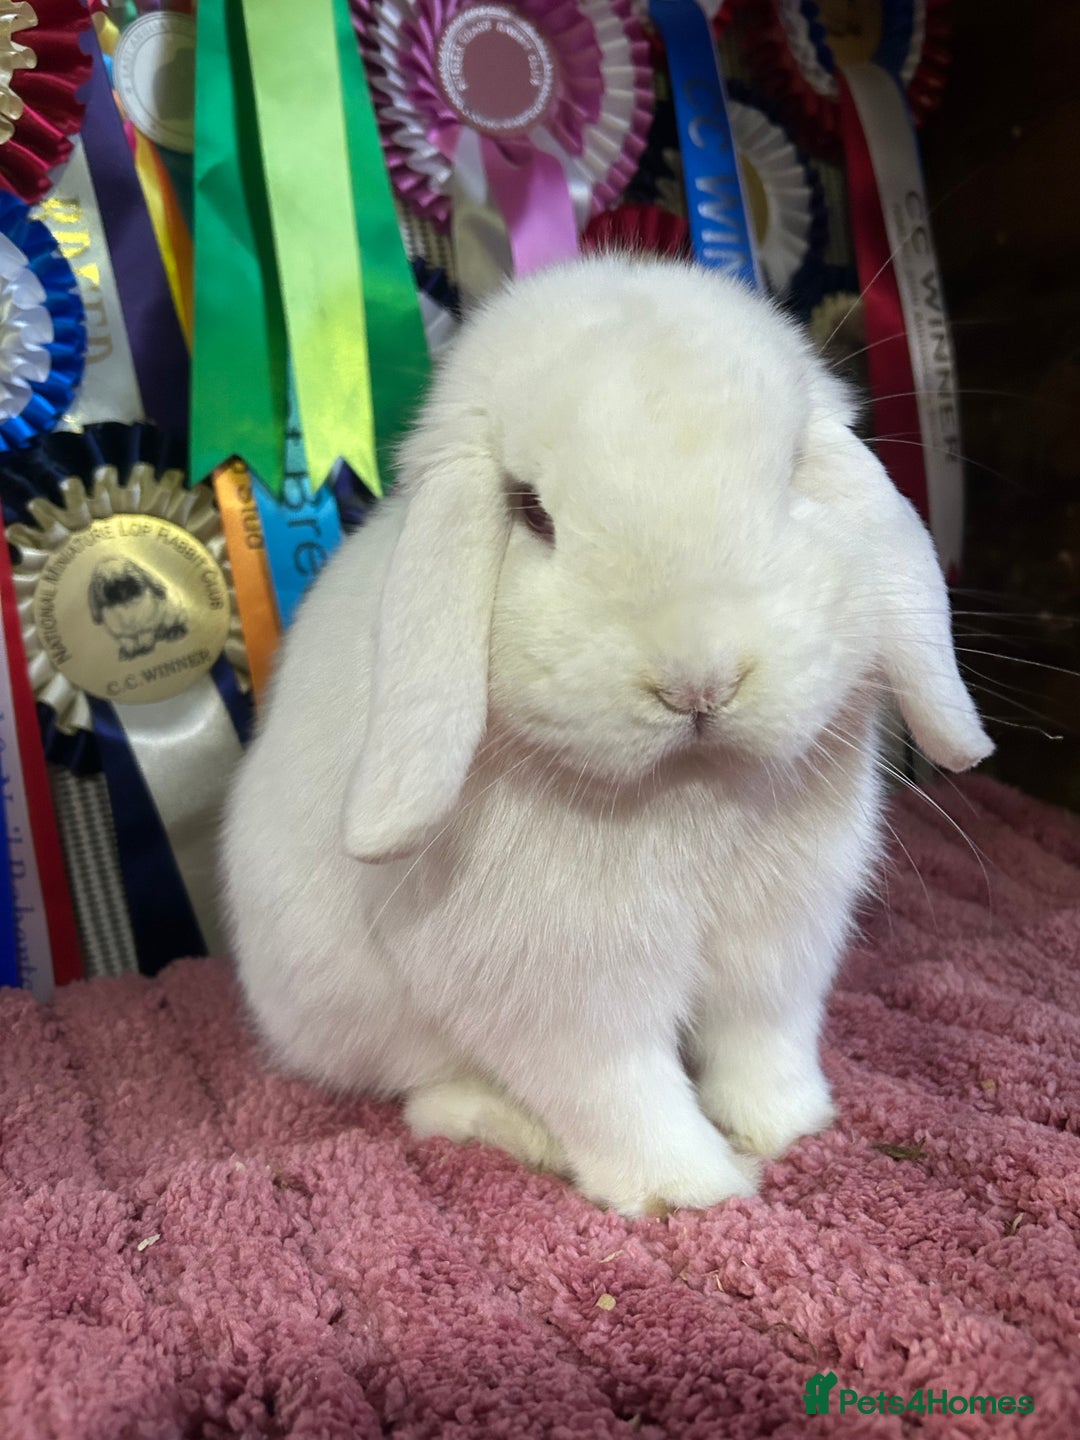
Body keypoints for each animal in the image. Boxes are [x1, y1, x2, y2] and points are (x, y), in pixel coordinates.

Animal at [221, 255, 992, 1217]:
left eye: (789, 478)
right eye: (531, 511)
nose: (698, 682)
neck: (690, 792)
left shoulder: (783, 943)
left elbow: (763, 1038)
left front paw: (786, 1127)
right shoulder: (561, 987)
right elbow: (620, 1089)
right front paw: (694, 1191)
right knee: (425, 1090)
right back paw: (513, 1128)